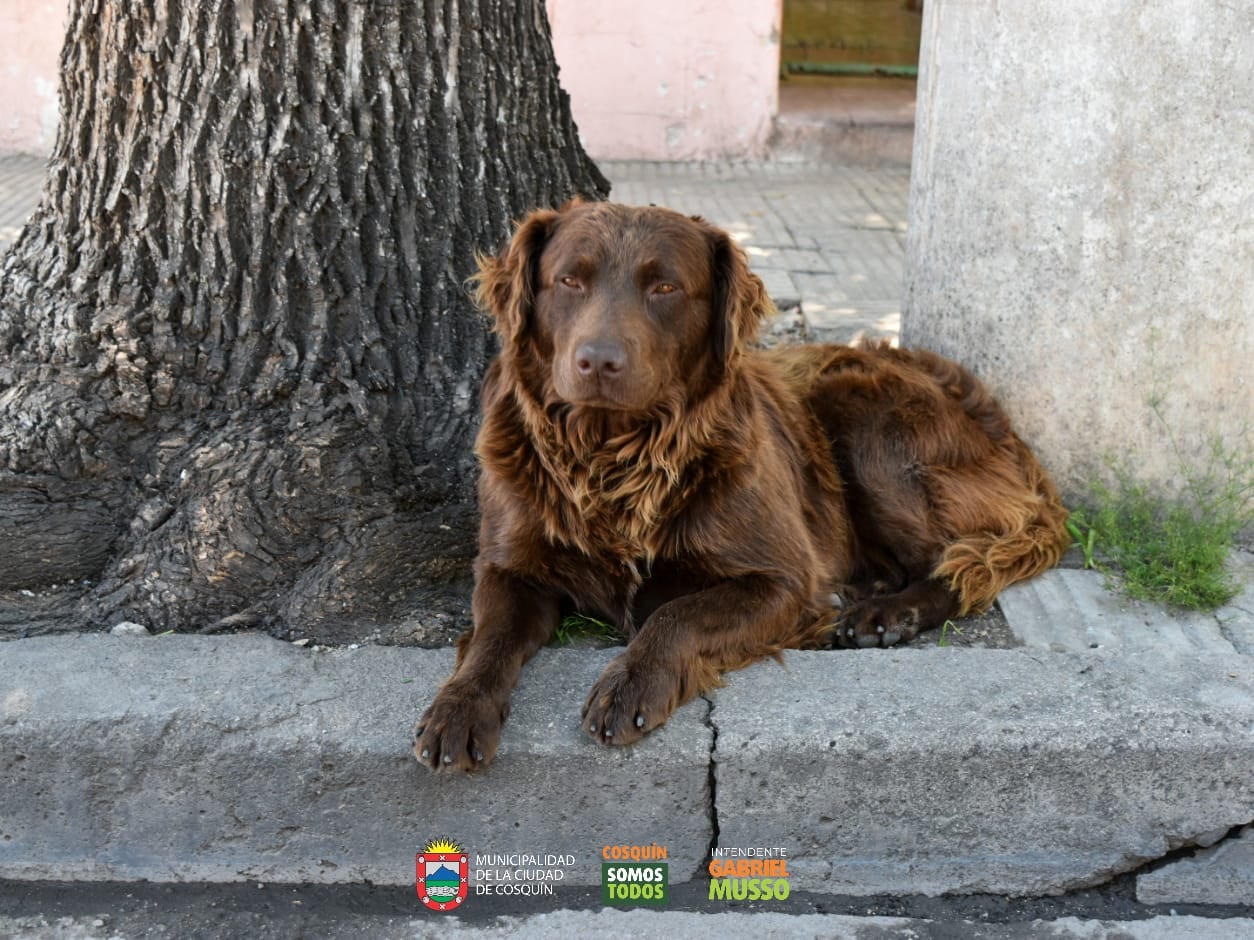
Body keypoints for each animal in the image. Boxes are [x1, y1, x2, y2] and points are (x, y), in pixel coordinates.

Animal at [413, 199, 1068, 772]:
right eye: (569, 280)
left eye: (665, 288)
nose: (598, 361)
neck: (612, 458)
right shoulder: (508, 566)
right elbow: (490, 638)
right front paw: (457, 708)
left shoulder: (783, 579)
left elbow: (676, 614)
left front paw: (629, 685)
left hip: (862, 416)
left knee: (961, 563)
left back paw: (885, 613)